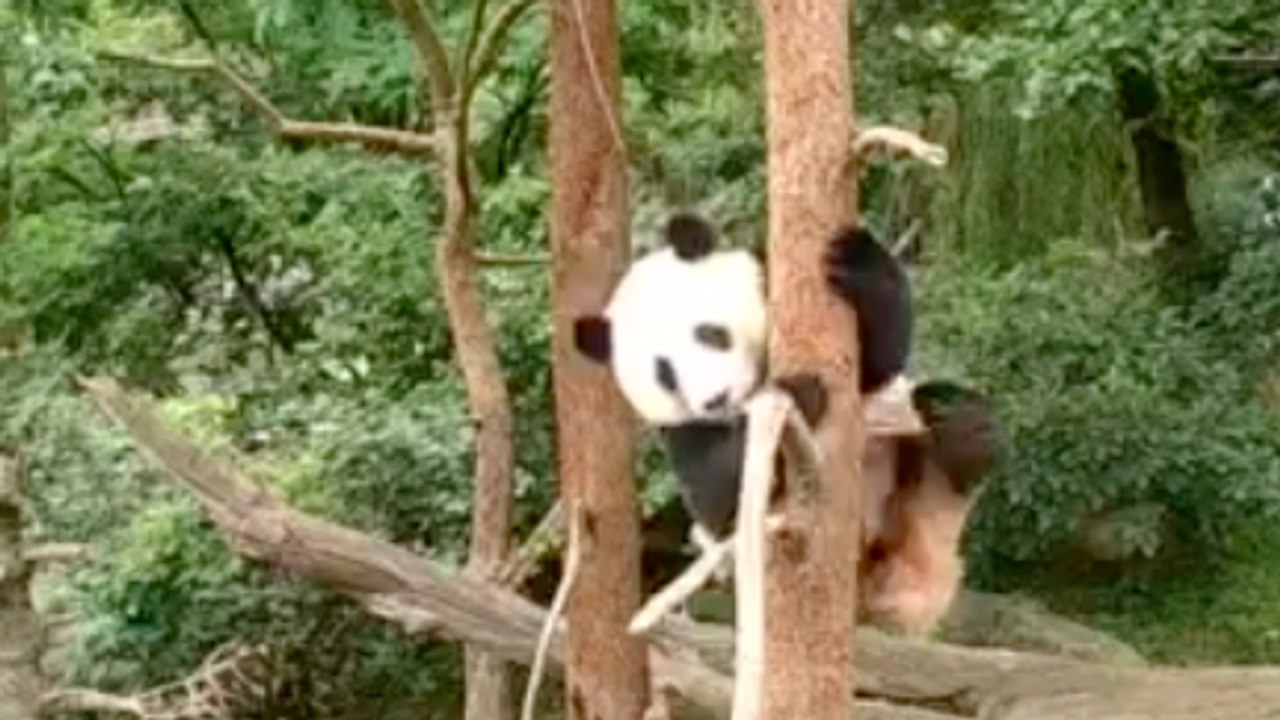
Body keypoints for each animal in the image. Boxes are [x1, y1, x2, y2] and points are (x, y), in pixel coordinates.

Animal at [572, 213, 998, 634]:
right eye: (665, 374)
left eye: (709, 333)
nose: (717, 397)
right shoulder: (682, 430)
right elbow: (717, 502)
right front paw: (798, 394)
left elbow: (877, 365)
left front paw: (854, 263)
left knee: (937, 435)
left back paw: (962, 429)